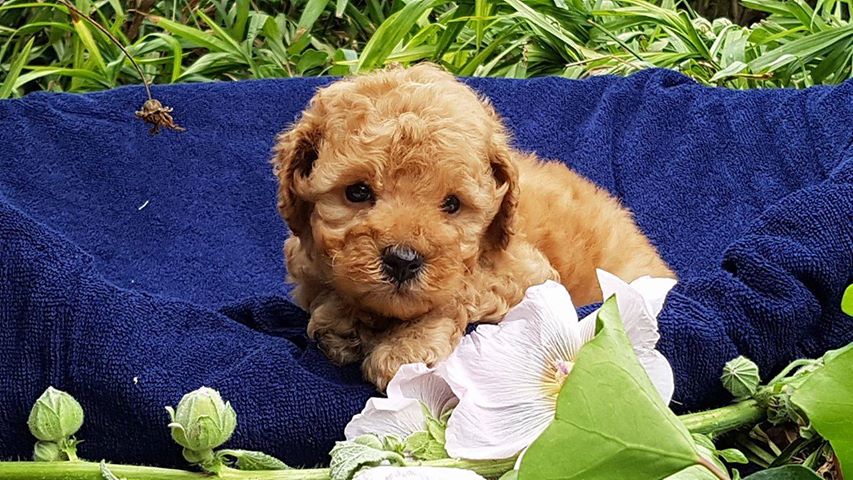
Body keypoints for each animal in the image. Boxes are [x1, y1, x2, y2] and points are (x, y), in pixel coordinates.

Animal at [272, 62, 672, 390]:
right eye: (357, 192)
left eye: (452, 204)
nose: (403, 260)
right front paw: (343, 324)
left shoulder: (527, 276)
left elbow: (461, 291)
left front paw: (405, 348)